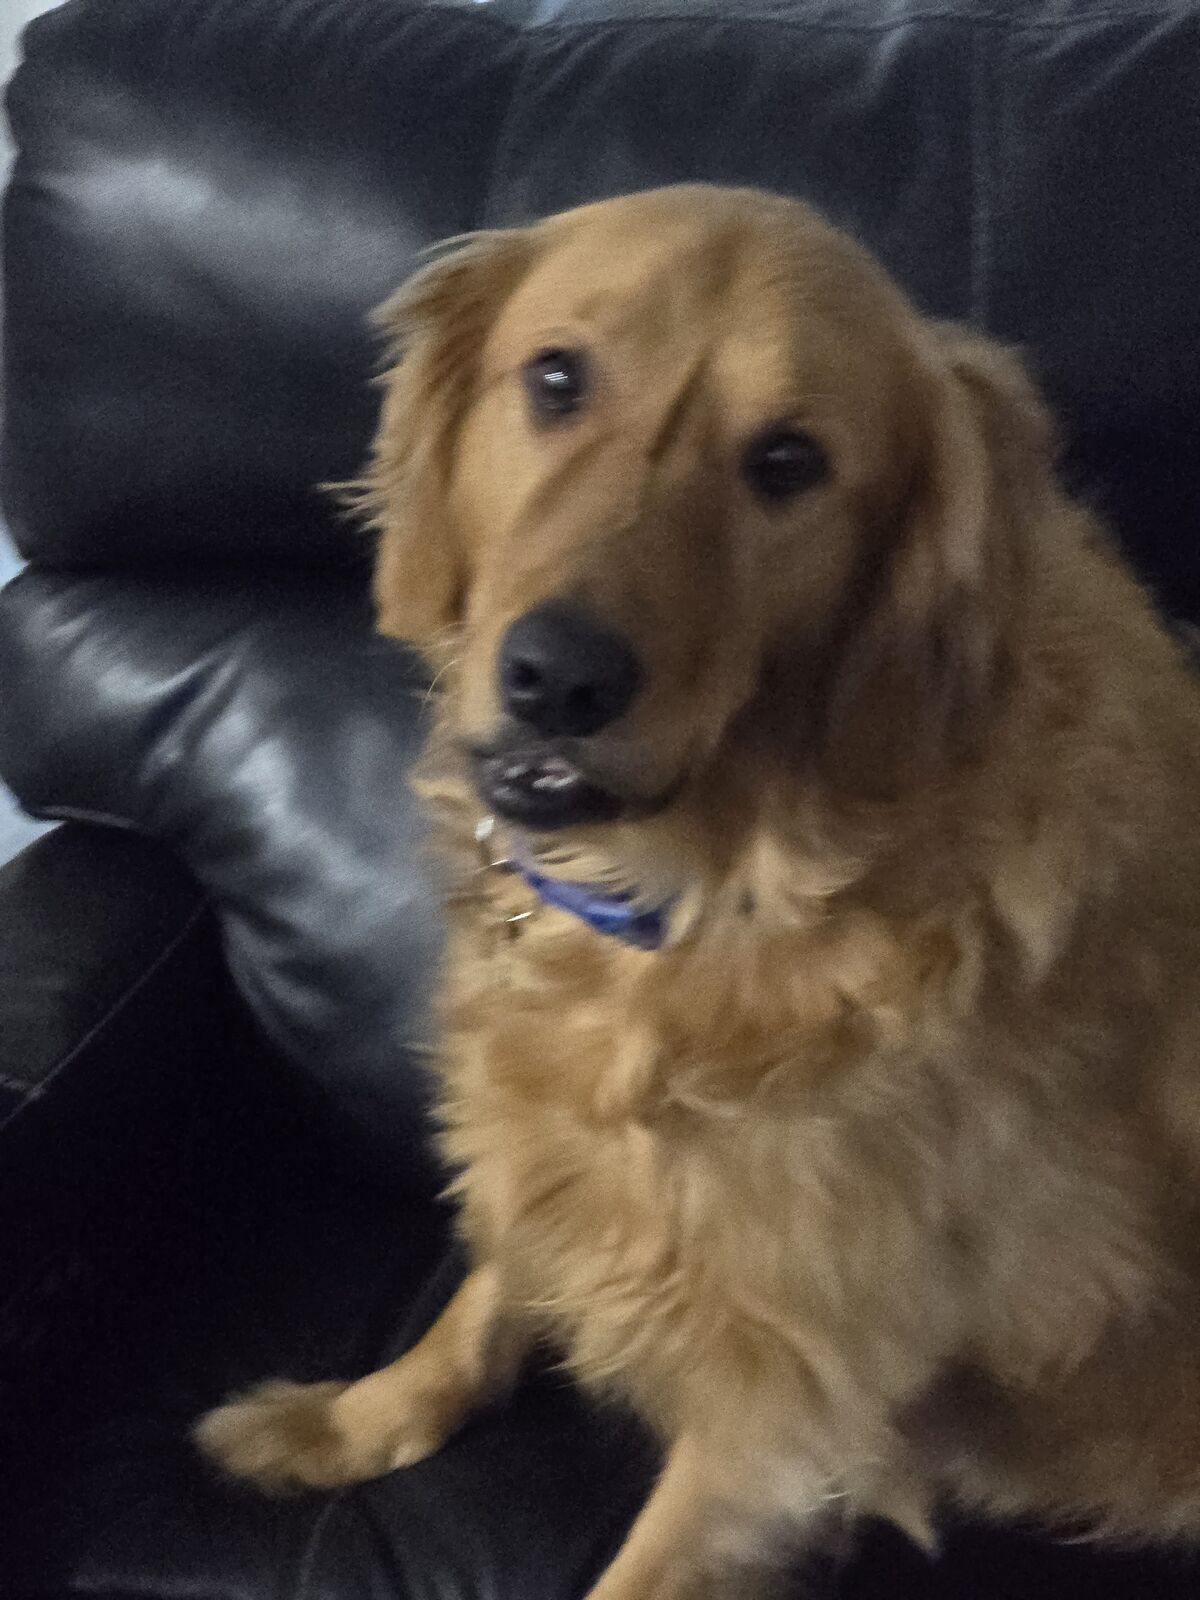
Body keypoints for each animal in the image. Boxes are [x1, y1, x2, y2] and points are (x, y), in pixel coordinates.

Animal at [196, 184, 1200, 1597]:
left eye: (789, 463)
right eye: (556, 379)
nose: (560, 677)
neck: (725, 888)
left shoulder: (788, 1399)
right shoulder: (547, 1129)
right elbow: (489, 1284)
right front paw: (352, 1417)